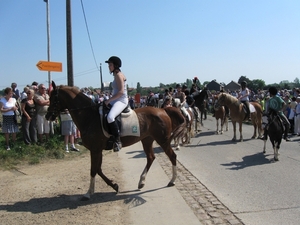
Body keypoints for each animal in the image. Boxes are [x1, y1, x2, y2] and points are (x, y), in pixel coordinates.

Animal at [45, 81, 186, 200]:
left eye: (53, 98)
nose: (47, 116)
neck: (90, 117)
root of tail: (163, 110)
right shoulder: (97, 150)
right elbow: (98, 169)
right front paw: (114, 185)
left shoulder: (95, 150)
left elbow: (93, 170)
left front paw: (88, 193)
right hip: (147, 140)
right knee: (151, 157)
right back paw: (141, 182)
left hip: (163, 140)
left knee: (172, 156)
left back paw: (172, 181)